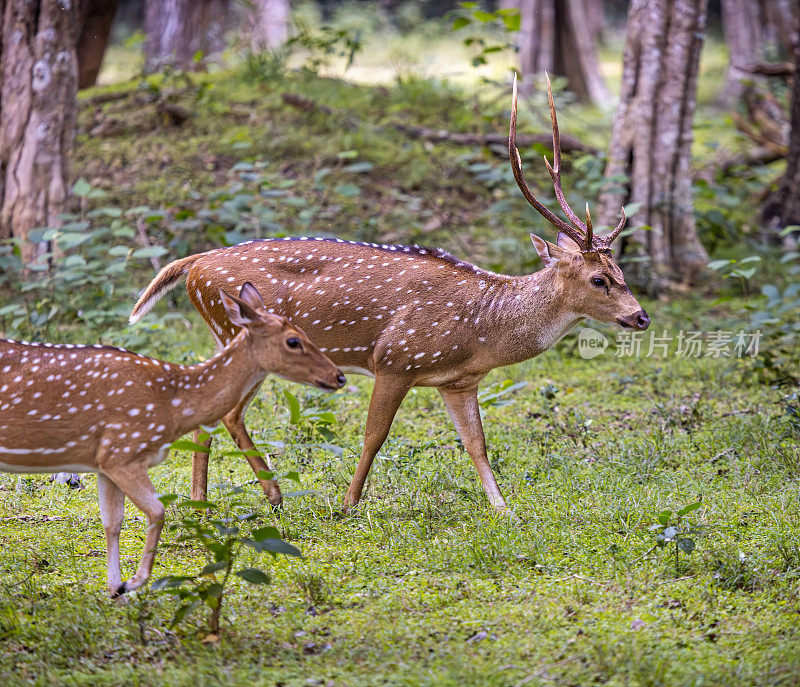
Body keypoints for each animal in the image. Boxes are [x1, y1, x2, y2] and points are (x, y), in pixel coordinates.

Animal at [0, 284, 344, 596]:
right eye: (293, 341)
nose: (339, 376)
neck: (172, 404)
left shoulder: (104, 461)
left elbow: (112, 523)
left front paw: (115, 589)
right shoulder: (123, 451)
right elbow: (157, 512)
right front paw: (134, 582)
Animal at [130, 76, 648, 516]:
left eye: (621, 270)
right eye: (599, 279)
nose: (641, 317)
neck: (481, 333)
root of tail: (194, 263)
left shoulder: (458, 382)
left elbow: (477, 443)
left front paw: (504, 509)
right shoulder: (396, 358)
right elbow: (374, 436)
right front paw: (348, 505)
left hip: (228, 336)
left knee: (211, 407)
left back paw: (201, 500)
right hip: (248, 335)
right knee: (231, 413)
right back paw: (273, 496)